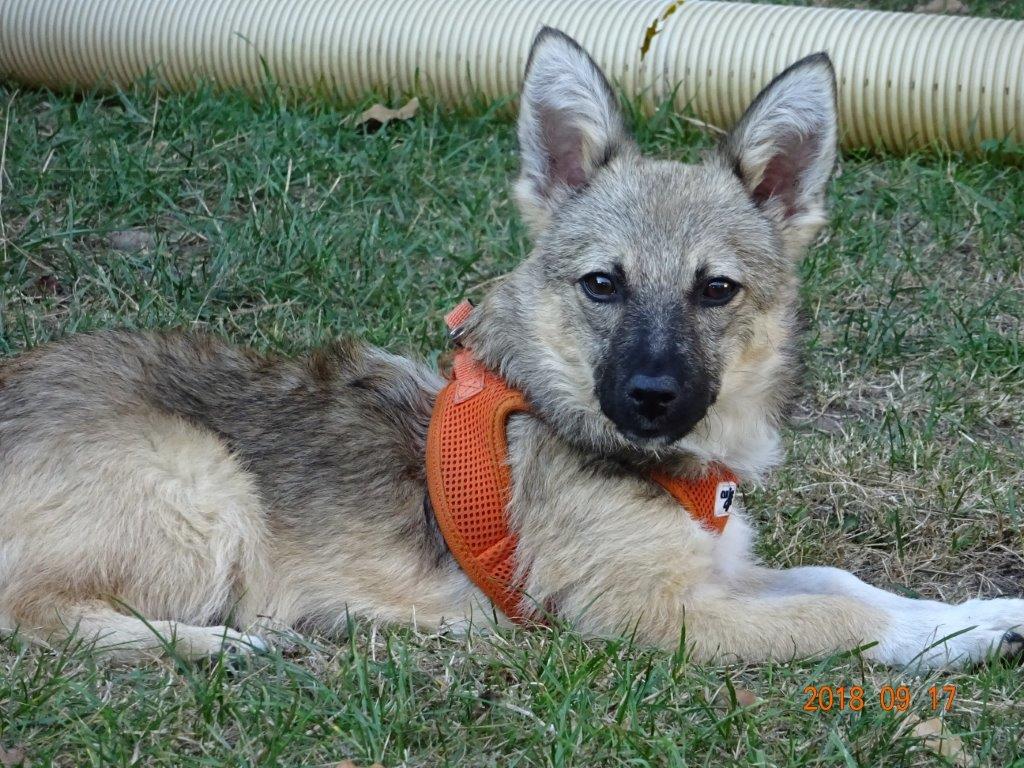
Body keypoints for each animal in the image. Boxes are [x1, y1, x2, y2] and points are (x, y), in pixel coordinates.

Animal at [1, 28, 1022, 667]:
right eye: (602, 284)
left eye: (716, 290)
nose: (650, 397)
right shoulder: (650, 615)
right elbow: (837, 611)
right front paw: (943, 641)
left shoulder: (722, 571)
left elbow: (847, 579)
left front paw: (981, 611)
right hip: (202, 485)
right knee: (36, 617)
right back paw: (222, 645)